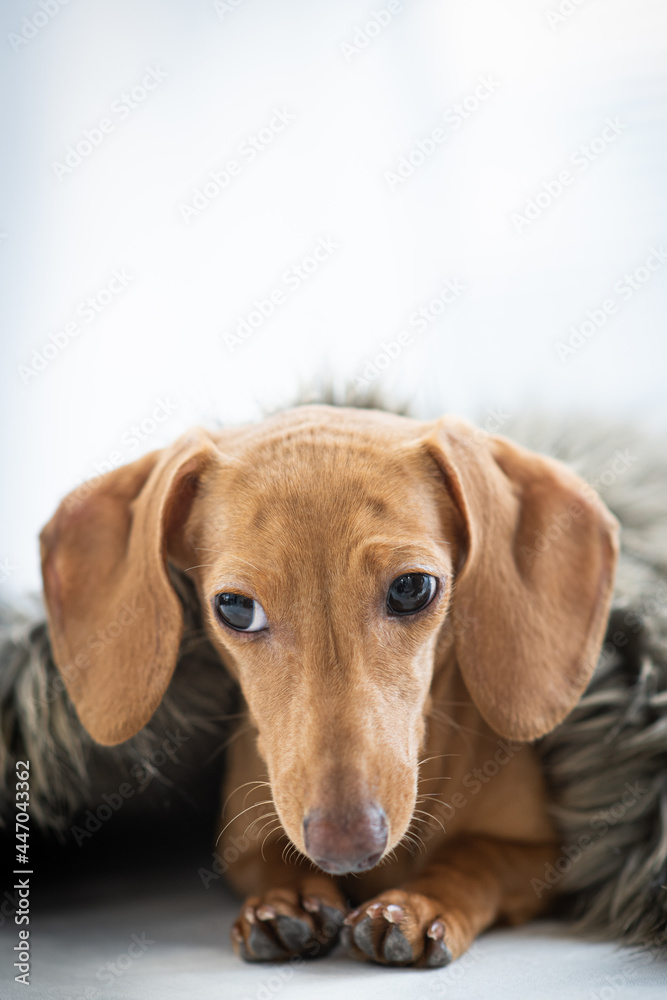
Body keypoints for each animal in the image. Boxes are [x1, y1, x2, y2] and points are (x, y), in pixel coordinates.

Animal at [39, 404, 620, 968]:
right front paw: (287, 897)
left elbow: (475, 855)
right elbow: (268, 858)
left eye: (413, 588)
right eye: (235, 607)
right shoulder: (241, 843)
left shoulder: (551, 857)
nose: (345, 847)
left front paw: (416, 904)